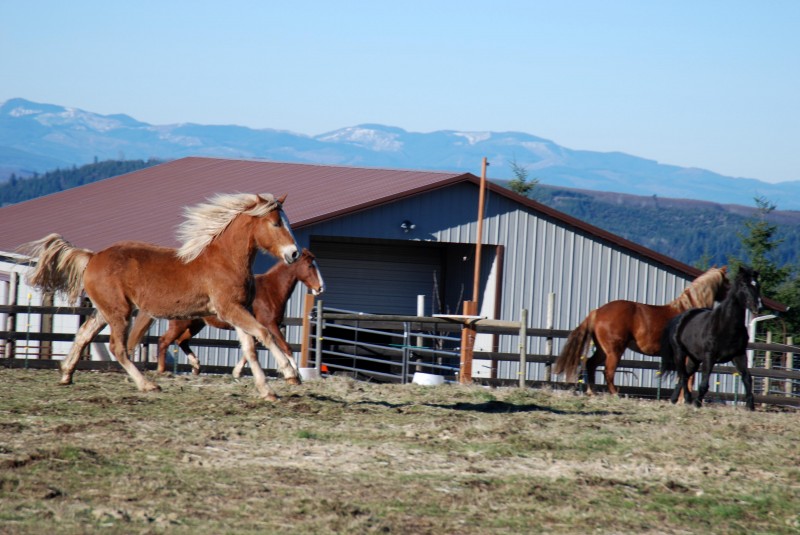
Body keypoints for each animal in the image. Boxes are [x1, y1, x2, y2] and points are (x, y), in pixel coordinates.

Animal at [21, 193, 301, 401]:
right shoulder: (229, 309)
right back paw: (148, 385)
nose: (294, 253)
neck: (225, 260)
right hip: (120, 313)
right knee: (118, 347)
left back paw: (66, 374)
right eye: (276, 223)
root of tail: (93, 257)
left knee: (83, 335)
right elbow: (264, 334)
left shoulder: (238, 310)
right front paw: (291, 374)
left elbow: (250, 347)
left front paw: (267, 391)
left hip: (105, 310)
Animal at [132, 248, 324, 377]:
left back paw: (196, 367)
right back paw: (162, 371)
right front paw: (295, 373)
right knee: (164, 341)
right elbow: (286, 347)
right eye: (310, 266)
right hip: (181, 324)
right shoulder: (270, 325)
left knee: (182, 341)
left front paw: (237, 372)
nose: (320, 288)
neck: (271, 290)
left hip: (196, 325)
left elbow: (251, 348)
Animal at [554, 266, 729, 395]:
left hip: (603, 350)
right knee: (608, 372)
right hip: (614, 351)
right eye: (728, 282)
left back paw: (593, 392)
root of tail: (597, 311)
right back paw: (615, 394)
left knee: (591, 365)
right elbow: (688, 377)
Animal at [660, 266, 761, 410]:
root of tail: (680, 318)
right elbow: (704, 382)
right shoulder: (709, 356)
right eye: (743, 284)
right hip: (680, 353)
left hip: (694, 359)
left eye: (757, 285)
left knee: (685, 374)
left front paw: (750, 406)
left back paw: (674, 399)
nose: (757, 306)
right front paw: (697, 403)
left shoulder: (739, 355)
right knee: (683, 375)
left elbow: (747, 378)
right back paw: (688, 399)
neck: (726, 325)